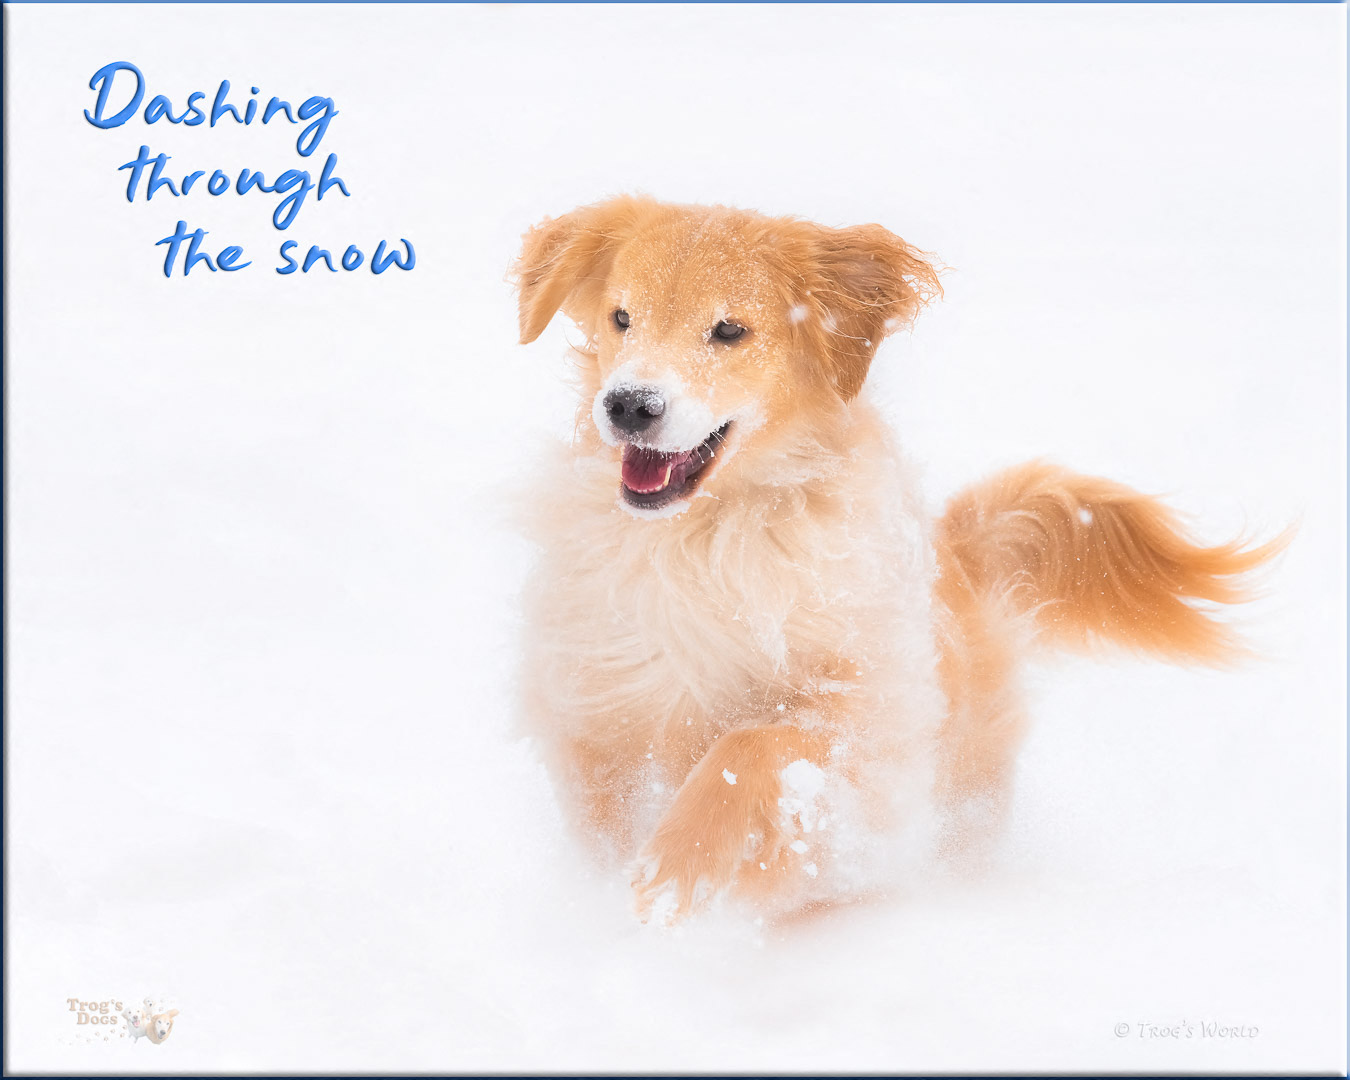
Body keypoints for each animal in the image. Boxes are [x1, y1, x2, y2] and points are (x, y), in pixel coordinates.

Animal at [507, 191, 1285, 918]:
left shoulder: (871, 731)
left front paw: (677, 866)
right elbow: (607, 810)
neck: (707, 537)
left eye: (729, 330)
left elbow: (754, 746)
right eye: (622, 319)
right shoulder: (596, 712)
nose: (628, 405)